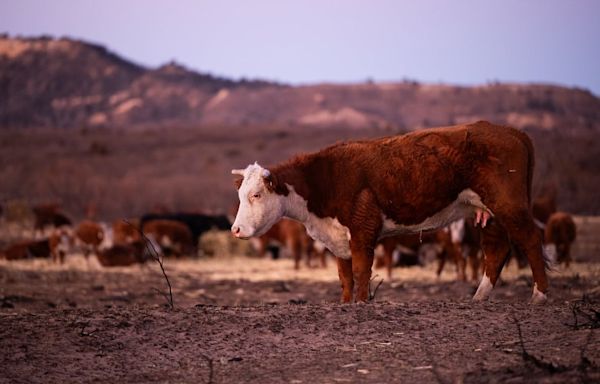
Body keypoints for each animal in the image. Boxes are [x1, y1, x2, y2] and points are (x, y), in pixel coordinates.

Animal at [232, 121, 552, 304]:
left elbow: (361, 271)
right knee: (497, 249)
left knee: (530, 239)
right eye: (240, 195)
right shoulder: (338, 237)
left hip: (508, 203)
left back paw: (539, 295)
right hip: (489, 211)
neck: (324, 178)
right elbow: (344, 275)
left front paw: (362, 304)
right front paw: (346, 303)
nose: (235, 230)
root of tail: (512, 132)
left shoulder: (363, 229)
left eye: (256, 194)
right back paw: (479, 296)